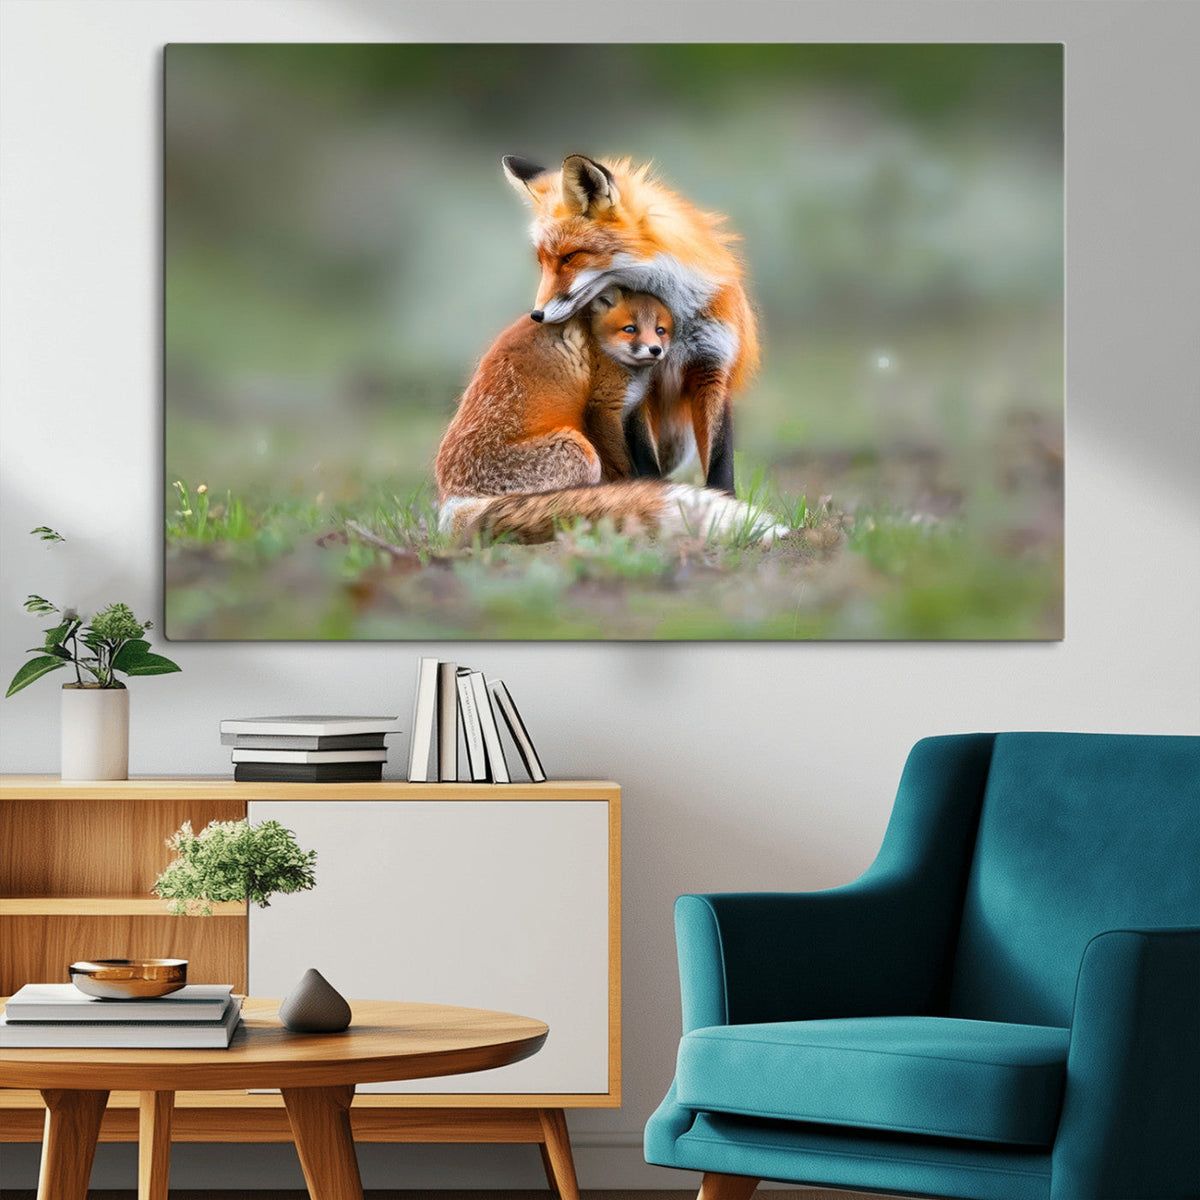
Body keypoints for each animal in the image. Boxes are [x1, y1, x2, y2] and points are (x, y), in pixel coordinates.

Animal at [435, 288, 782, 546]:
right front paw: (637, 491)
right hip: (579, 450)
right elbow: (625, 466)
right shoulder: (603, 408)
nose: (656, 350)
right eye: (630, 329)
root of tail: (453, 501)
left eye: (660, 330)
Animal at [501, 152, 760, 496]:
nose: (537, 315)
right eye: (542, 262)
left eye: (569, 257)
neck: (675, 319)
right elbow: (645, 461)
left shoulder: (712, 368)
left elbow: (720, 462)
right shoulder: (638, 384)